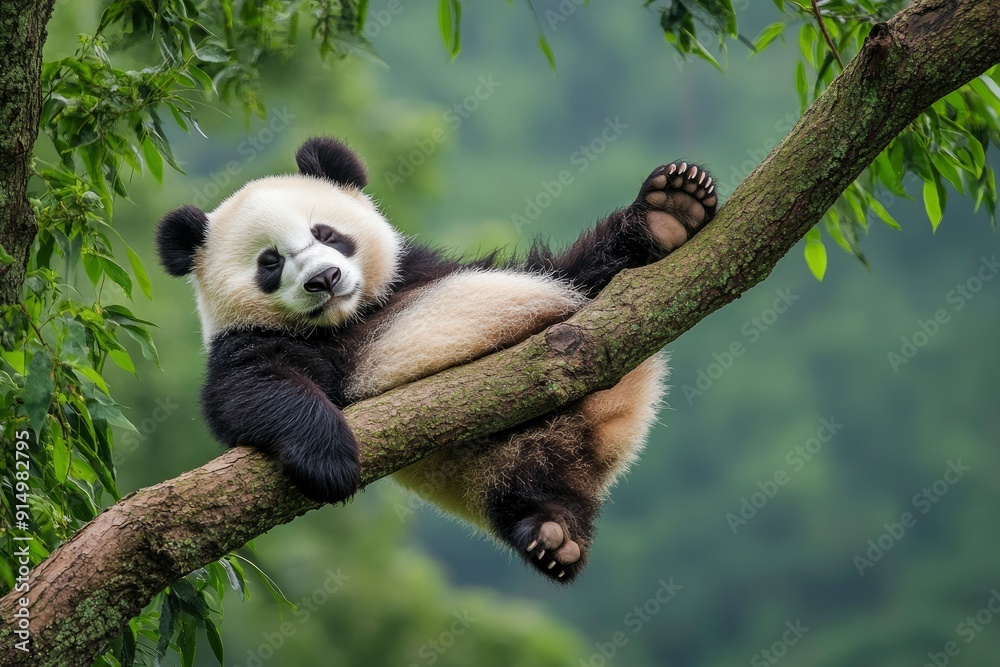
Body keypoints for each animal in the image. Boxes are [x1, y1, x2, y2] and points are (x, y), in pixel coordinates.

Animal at [156, 137, 716, 582]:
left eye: (326, 233)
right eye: (269, 262)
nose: (324, 279)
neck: (348, 318)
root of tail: (604, 432)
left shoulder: (419, 271)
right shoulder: (246, 341)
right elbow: (250, 390)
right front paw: (330, 459)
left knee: (582, 273)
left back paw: (669, 212)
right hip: (504, 467)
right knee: (524, 490)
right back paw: (553, 534)